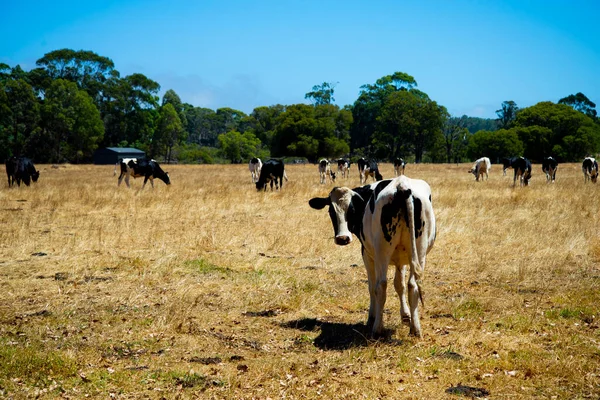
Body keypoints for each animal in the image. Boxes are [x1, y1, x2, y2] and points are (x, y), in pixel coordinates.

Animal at [310, 177, 436, 336]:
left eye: (352, 210)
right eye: (331, 211)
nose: (342, 238)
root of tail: (402, 185)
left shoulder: (367, 254)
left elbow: (372, 286)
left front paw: (372, 316)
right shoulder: (402, 259)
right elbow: (400, 285)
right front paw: (406, 315)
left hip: (382, 254)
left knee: (381, 285)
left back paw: (377, 328)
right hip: (419, 252)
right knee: (413, 285)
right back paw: (415, 329)